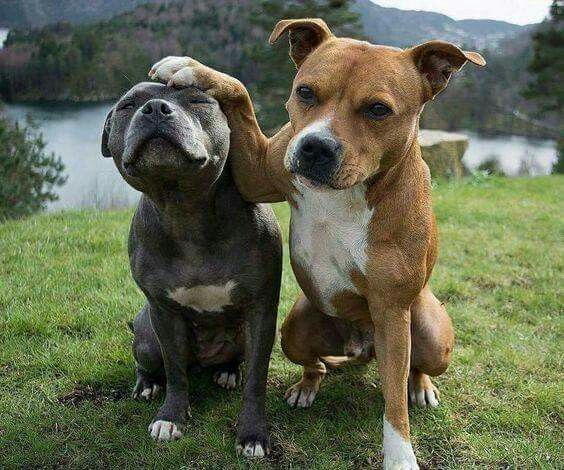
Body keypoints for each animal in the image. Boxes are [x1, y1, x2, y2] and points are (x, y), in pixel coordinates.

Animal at [101, 82, 282, 458]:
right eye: (127, 105)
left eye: (198, 100)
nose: (155, 108)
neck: (187, 210)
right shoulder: (163, 313)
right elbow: (174, 371)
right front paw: (171, 417)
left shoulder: (261, 309)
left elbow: (256, 377)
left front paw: (253, 433)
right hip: (146, 336)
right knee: (151, 361)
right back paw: (147, 384)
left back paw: (227, 372)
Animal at [150, 17, 484, 466]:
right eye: (305, 91)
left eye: (378, 109)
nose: (315, 146)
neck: (349, 192)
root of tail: (361, 347)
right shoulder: (258, 172)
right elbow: (241, 93)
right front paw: (190, 68)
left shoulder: (392, 313)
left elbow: (394, 402)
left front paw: (400, 456)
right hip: (293, 329)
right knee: (318, 365)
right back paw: (305, 387)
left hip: (429, 335)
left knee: (411, 368)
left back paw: (421, 385)